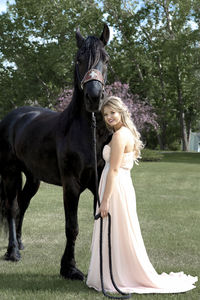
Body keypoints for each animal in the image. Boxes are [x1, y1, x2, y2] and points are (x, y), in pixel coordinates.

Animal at [0, 24, 110, 280]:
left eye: (106, 59)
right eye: (79, 59)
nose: (93, 97)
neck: (86, 132)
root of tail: (13, 116)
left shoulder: (98, 182)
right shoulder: (71, 184)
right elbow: (72, 226)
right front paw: (69, 268)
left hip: (33, 178)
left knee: (23, 204)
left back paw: (21, 244)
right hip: (10, 174)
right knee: (12, 208)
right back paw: (13, 252)